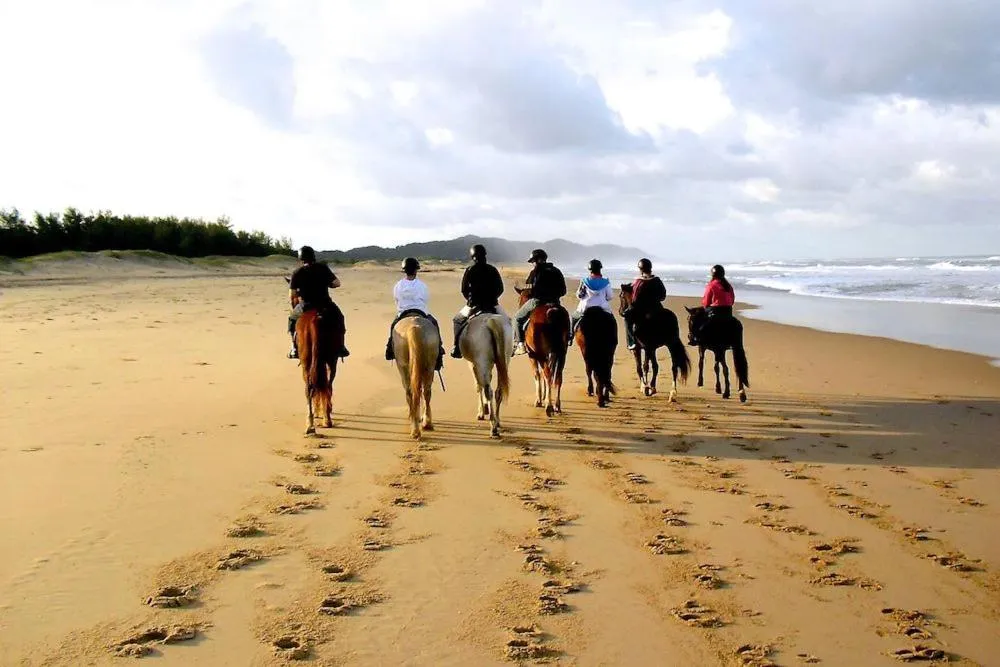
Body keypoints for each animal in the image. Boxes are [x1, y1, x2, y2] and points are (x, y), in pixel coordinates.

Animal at [456, 307, 513, 438]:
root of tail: (492, 321)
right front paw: (485, 408)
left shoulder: (473, 364)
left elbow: (478, 386)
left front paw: (481, 412)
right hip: (504, 360)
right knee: (498, 390)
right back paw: (497, 421)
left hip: (481, 362)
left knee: (488, 391)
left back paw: (493, 427)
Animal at [513, 286, 571, 417]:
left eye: (519, 299)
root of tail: (552, 311)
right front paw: (544, 398)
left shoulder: (533, 355)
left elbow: (537, 374)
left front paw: (539, 400)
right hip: (561, 353)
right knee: (558, 376)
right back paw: (557, 406)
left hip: (541, 355)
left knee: (548, 374)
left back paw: (549, 406)